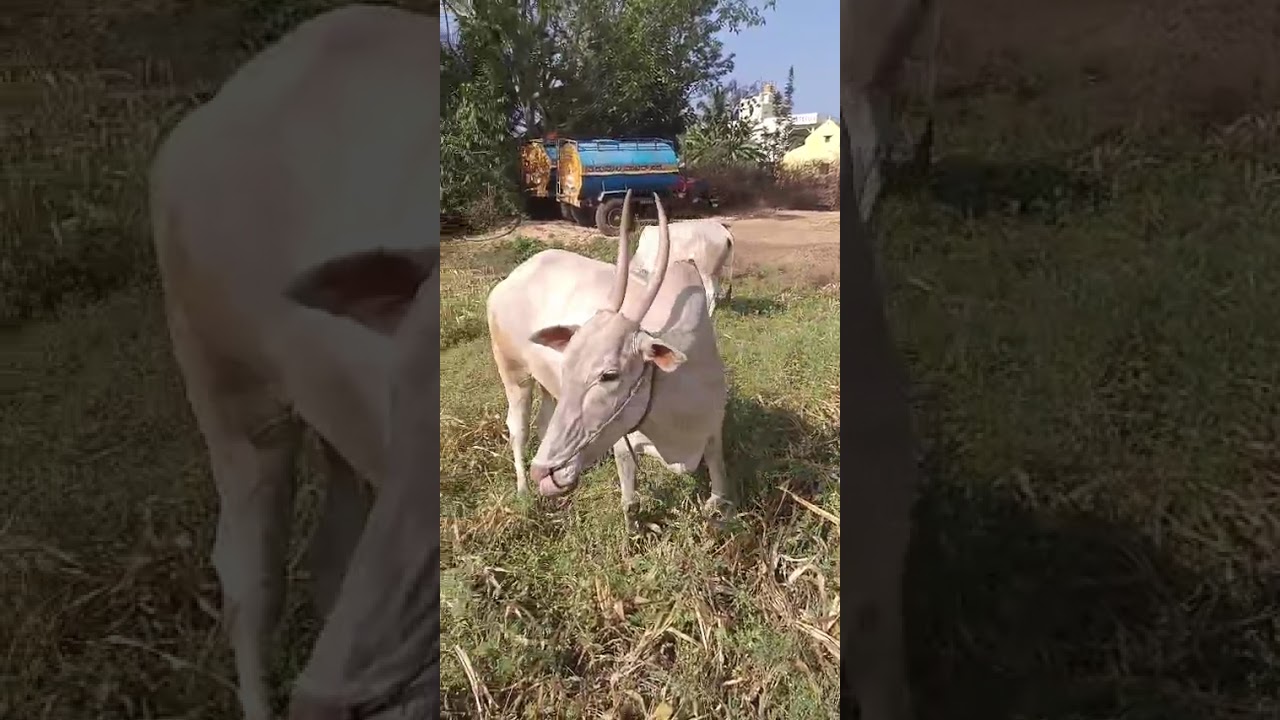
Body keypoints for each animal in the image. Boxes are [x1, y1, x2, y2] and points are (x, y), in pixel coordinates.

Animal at [486, 191, 733, 528]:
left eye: (609, 375)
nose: (543, 471)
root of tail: (513, 277)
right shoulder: (622, 441)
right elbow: (630, 499)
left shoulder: (713, 427)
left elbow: (718, 476)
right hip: (513, 373)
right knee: (518, 429)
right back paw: (524, 490)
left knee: (543, 422)